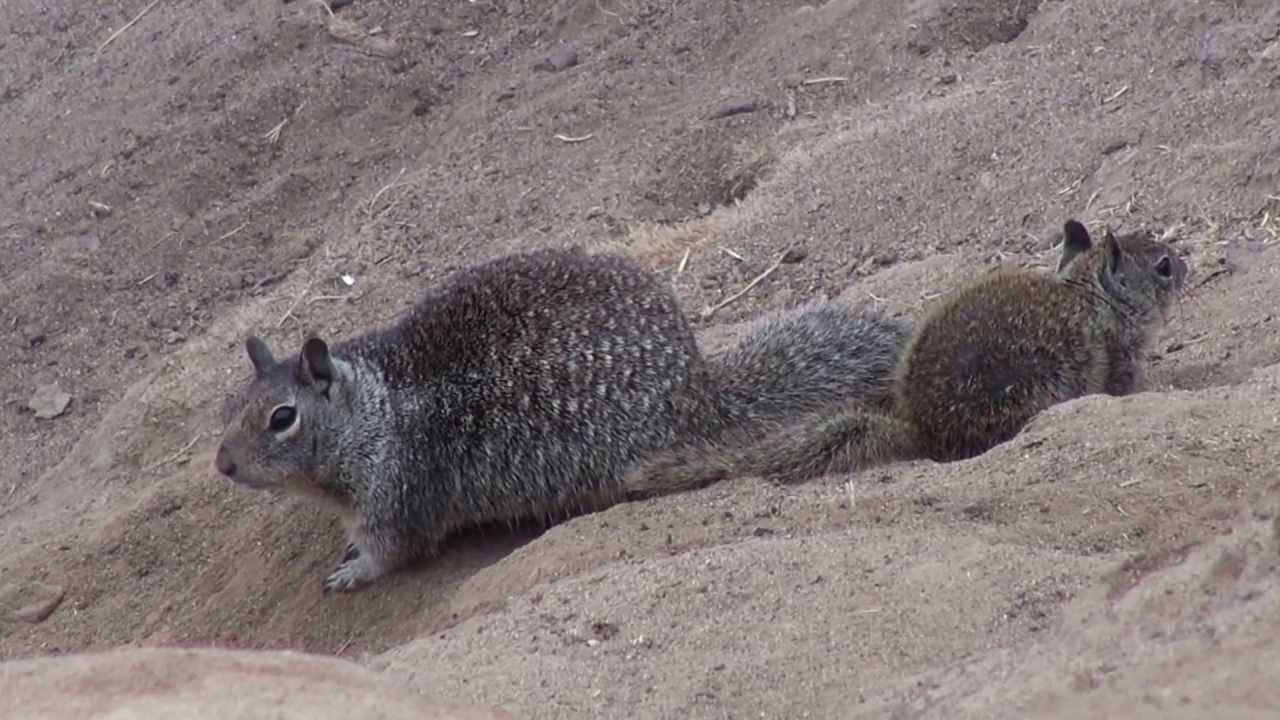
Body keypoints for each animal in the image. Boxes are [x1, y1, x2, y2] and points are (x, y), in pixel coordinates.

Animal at [212, 243, 911, 586]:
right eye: (230, 406)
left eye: (281, 418)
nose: (222, 464)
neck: (375, 414)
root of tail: (699, 391)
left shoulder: (399, 491)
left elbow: (396, 548)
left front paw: (355, 570)